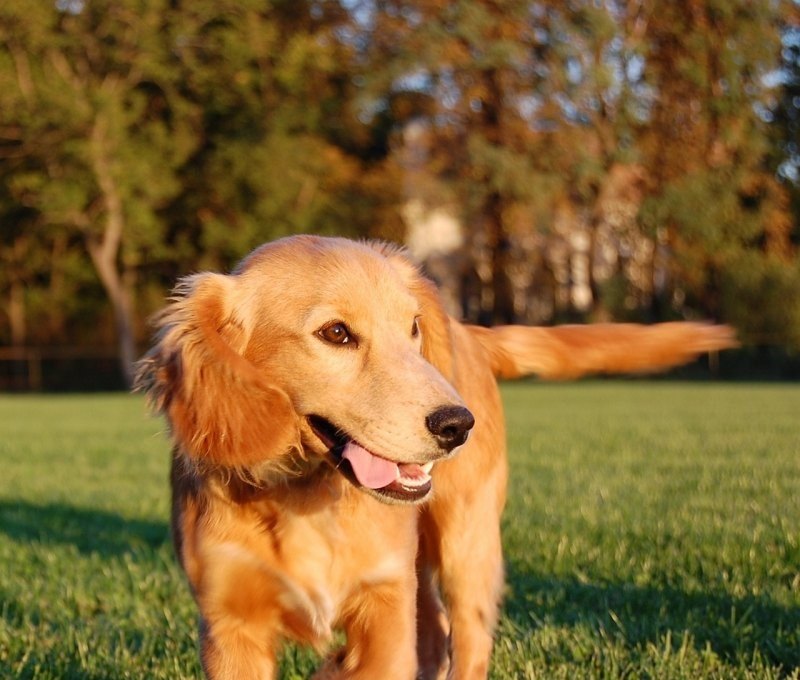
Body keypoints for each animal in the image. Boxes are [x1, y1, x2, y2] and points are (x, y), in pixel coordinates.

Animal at [134, 235, 736, 680]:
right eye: (335, 333)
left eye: (413, 328)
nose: (456, 425)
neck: (305, 494)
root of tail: (470, 331)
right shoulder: (229, 624)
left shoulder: (385, 604)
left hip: (468, 545)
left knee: (466, 642)